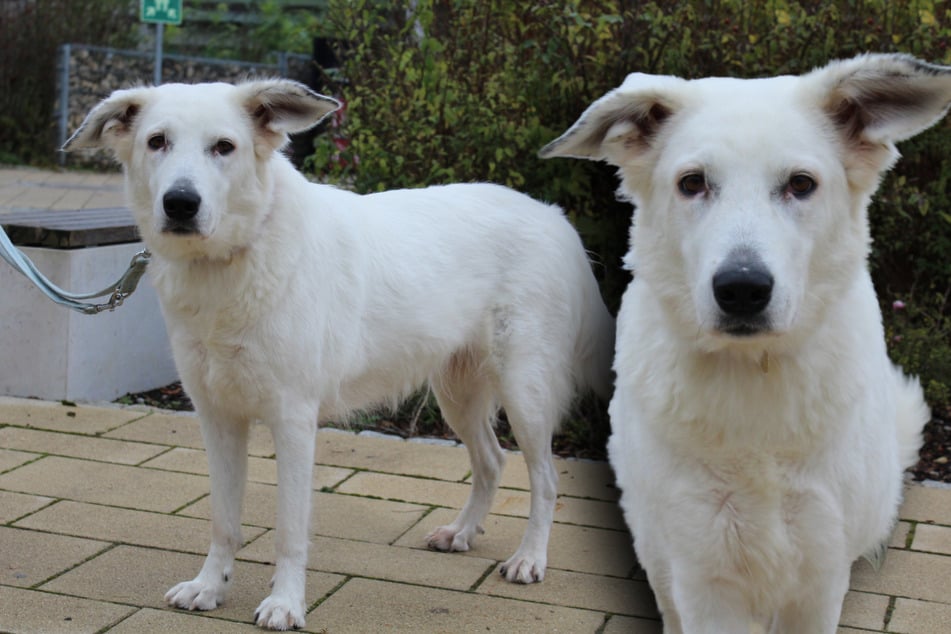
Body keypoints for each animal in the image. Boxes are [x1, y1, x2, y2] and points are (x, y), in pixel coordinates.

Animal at [69, 79, 616, 628]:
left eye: (224, 147)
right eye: (157, 141)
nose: (181, 203)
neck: (234, 258)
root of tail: (553, 216)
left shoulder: (292, 420)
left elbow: (290, 531)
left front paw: (285, 603)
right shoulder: (217, 416)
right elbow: (224, 520)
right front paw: (210, 587)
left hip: (525, 392)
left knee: (545, 478)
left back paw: (530, 558)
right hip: (458, 394)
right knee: (492, 462)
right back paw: (461, 532)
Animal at [540, 51, 948, 628]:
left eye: (801, 184)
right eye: (692, 183)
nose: (742, 289)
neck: (754, 374)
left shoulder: (819, 576)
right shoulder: (702, 575)